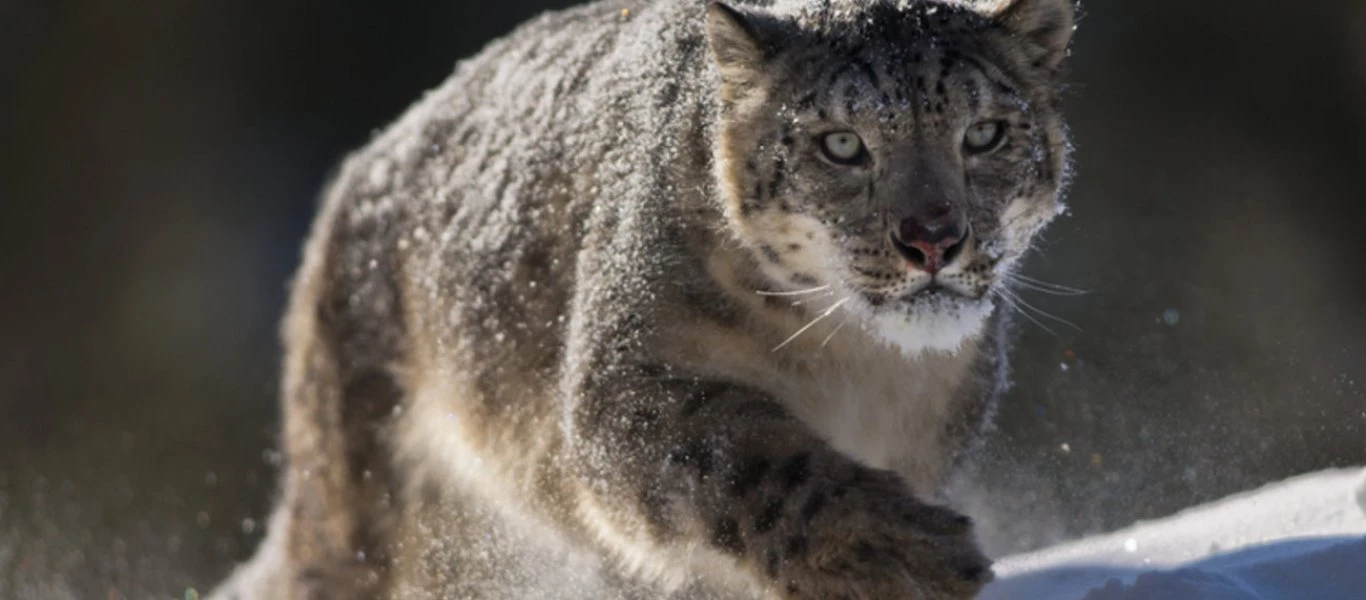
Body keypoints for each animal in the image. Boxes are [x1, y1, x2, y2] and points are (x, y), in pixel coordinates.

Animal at [213, 0, 1070, 598]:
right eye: (841, 144)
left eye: (985, 133)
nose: (933, 240)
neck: (860, 368)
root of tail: (362, 168)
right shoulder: (626, 386)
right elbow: (753, 462)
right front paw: (904, 554)